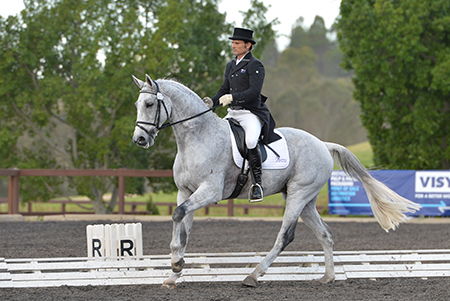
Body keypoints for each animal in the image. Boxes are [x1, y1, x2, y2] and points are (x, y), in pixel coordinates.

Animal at [132, 74, 420, 288]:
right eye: (137, 105)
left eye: (149, 105)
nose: (140, 140)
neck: (197, 137)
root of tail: (323, 144)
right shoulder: (186, 191)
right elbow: (182, 226)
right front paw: (174, 271)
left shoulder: (209, 192)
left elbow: (178, 215)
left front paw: (176, 265)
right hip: (305, 200)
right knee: (324, 233)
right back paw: (328, 277)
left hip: (298, 195)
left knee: (285, 236)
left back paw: (253, 275)